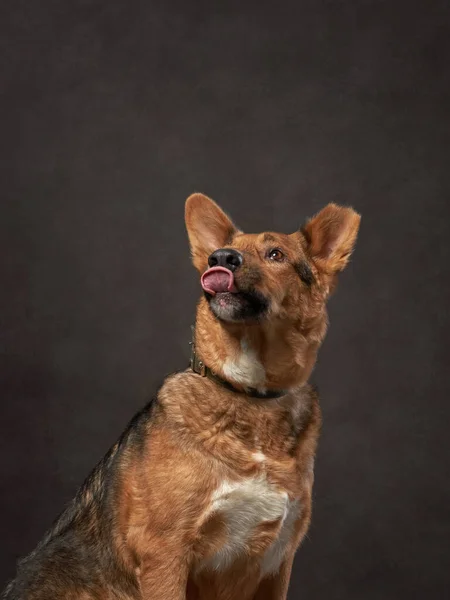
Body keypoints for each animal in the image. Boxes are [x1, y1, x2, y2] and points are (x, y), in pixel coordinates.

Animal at [1, 193, 360, 600]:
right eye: (220, 254)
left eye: (276, 254)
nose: (221, 258)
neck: (249, 394)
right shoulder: (165, 554)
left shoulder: (276, 563)